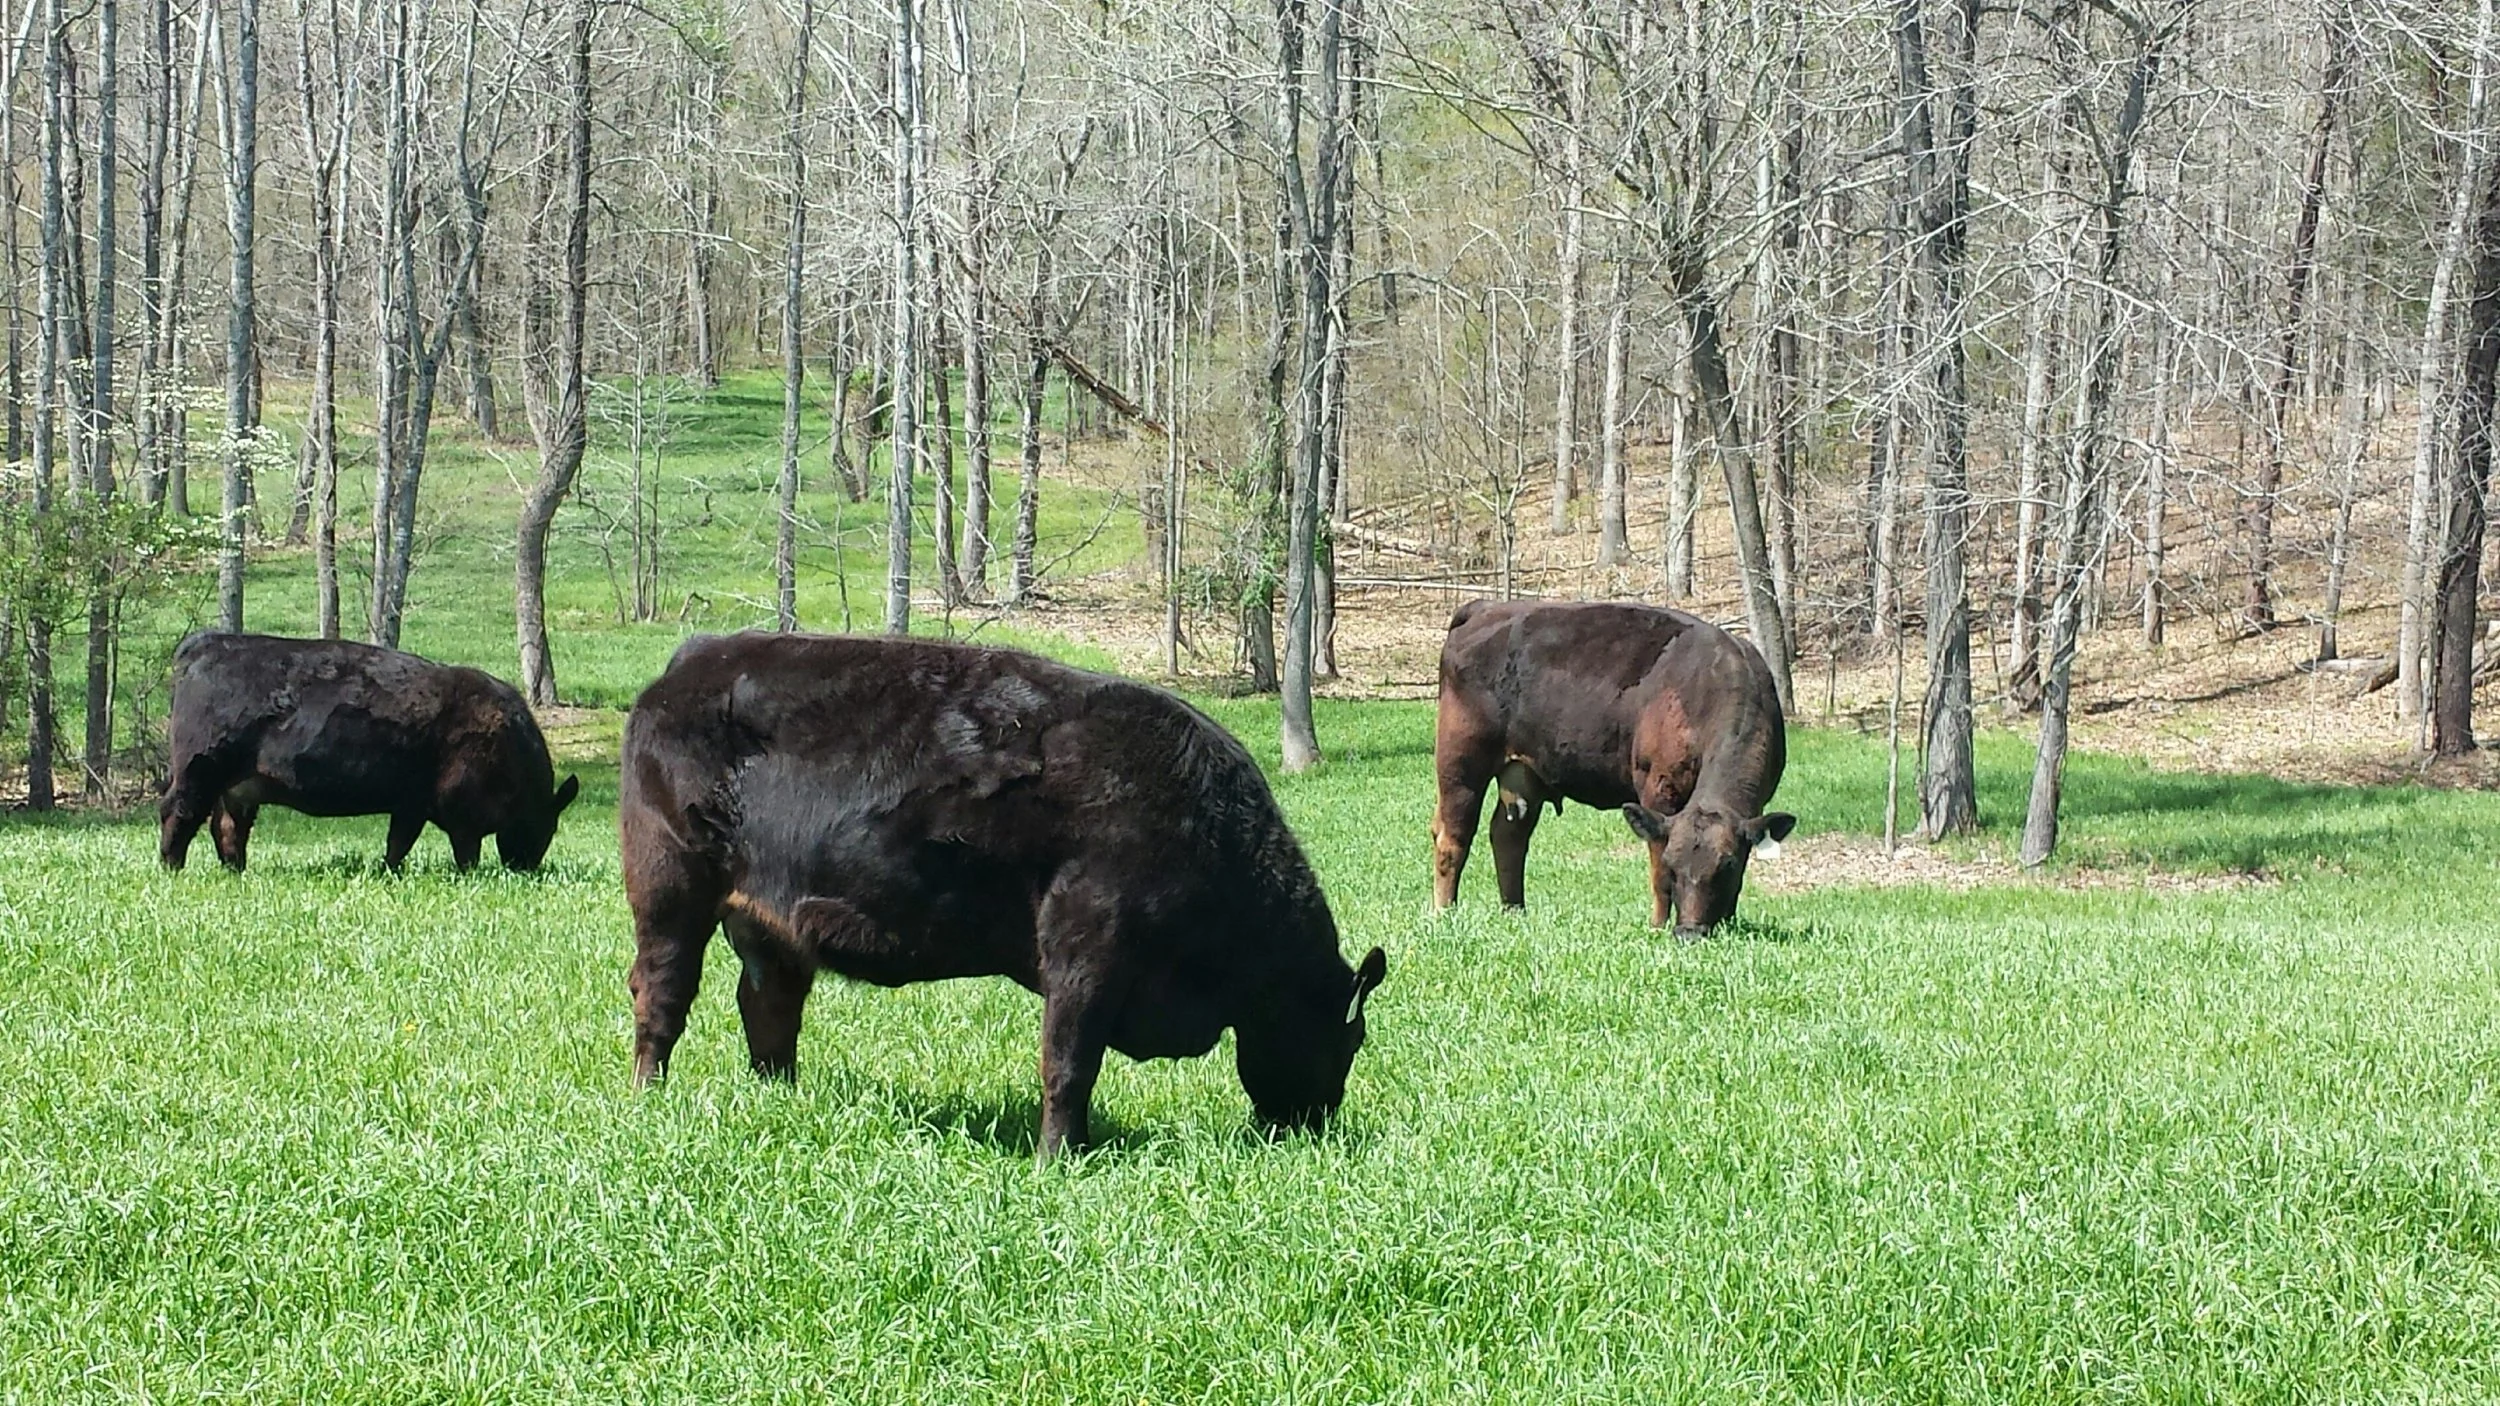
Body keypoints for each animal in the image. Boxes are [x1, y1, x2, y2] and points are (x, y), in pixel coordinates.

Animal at [158, 632, 580, 874]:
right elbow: (463, 850)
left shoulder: (411, 805)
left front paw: (389, 872)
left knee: (228, 827)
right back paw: (171, 867)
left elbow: (398, 844)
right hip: (199, 771)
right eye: (548, 826)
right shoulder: (460, 810)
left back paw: (236, 870)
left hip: (236, 788)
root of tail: (205, 644)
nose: (525, 868)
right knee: (179, 813)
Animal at [617, 631, 1389, 1160]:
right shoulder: (1086, 948)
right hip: (671, 889)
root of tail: (696, 657)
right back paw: (649, 1096)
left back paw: (781, 1096)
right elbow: (1069, 1063)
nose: (1318, 1124)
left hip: (767, 921)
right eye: (1351, 1037)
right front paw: (1060, 1157)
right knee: (663, 992)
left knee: (768, 1006)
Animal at [1430, 599, 1793, 938]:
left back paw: (1515, 910)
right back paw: (1444, 911)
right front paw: (1658, 925)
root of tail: (1486, 607)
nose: (1689, 932)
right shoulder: (1658, 790)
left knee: (1508, 835)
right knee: (1452, 837)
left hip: (1523, 772)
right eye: (1673, 864)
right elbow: (1657, 870)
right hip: (1460, 763)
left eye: (1727, 865)